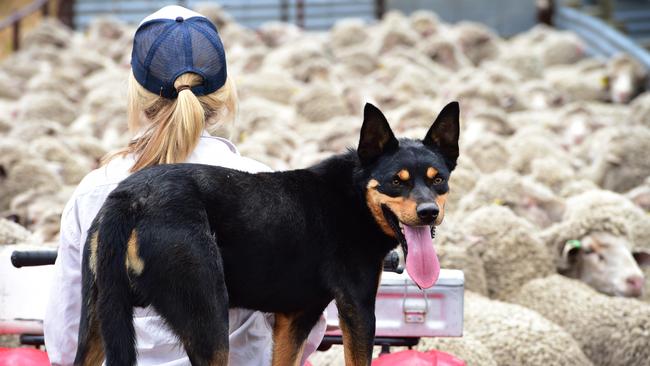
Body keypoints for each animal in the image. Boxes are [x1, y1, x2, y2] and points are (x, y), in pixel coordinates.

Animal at [76, 101, 458, 366]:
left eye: (438, 179)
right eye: (397, 182)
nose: (429, 212)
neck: (353, 195)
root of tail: (132, 198)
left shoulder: (295, 318)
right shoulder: (359, 309)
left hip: (98, 321)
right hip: (208, 323)